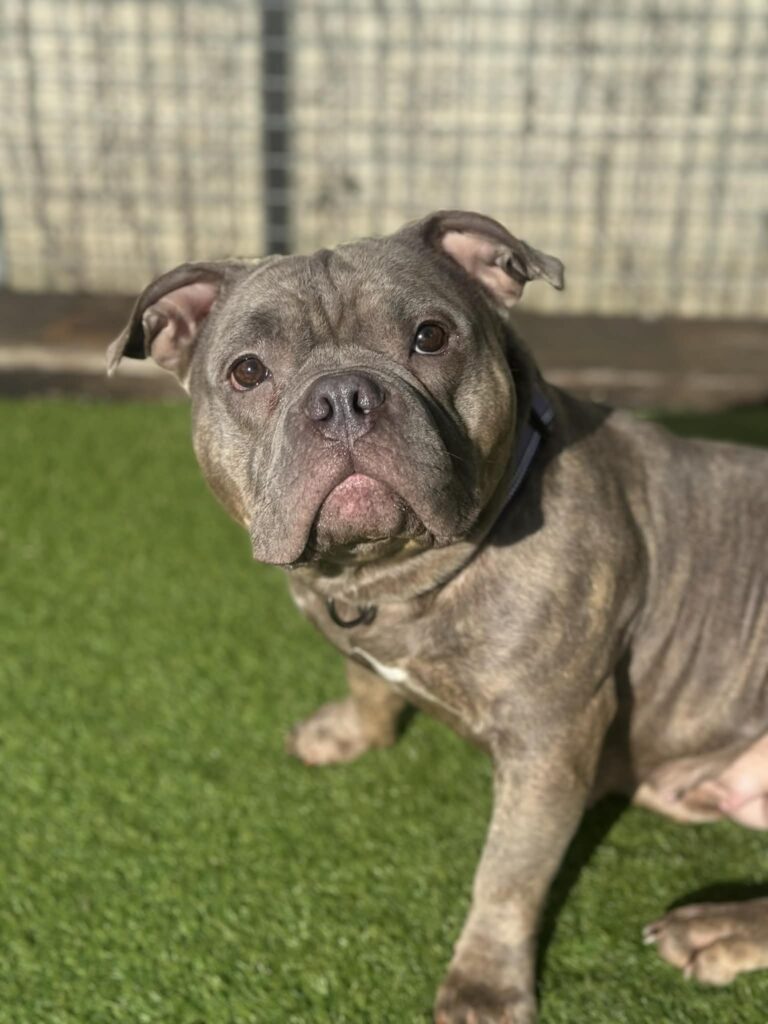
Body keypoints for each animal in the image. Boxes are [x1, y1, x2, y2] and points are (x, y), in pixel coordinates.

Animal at [108, 211, 768, 1023]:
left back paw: (716, 929)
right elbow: (366, 683)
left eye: (430, 336)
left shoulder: (550, 742)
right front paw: (349, 733)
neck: (400, 575)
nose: (342, 397)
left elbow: (508, 874)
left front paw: (484, 984)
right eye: (248, 372)